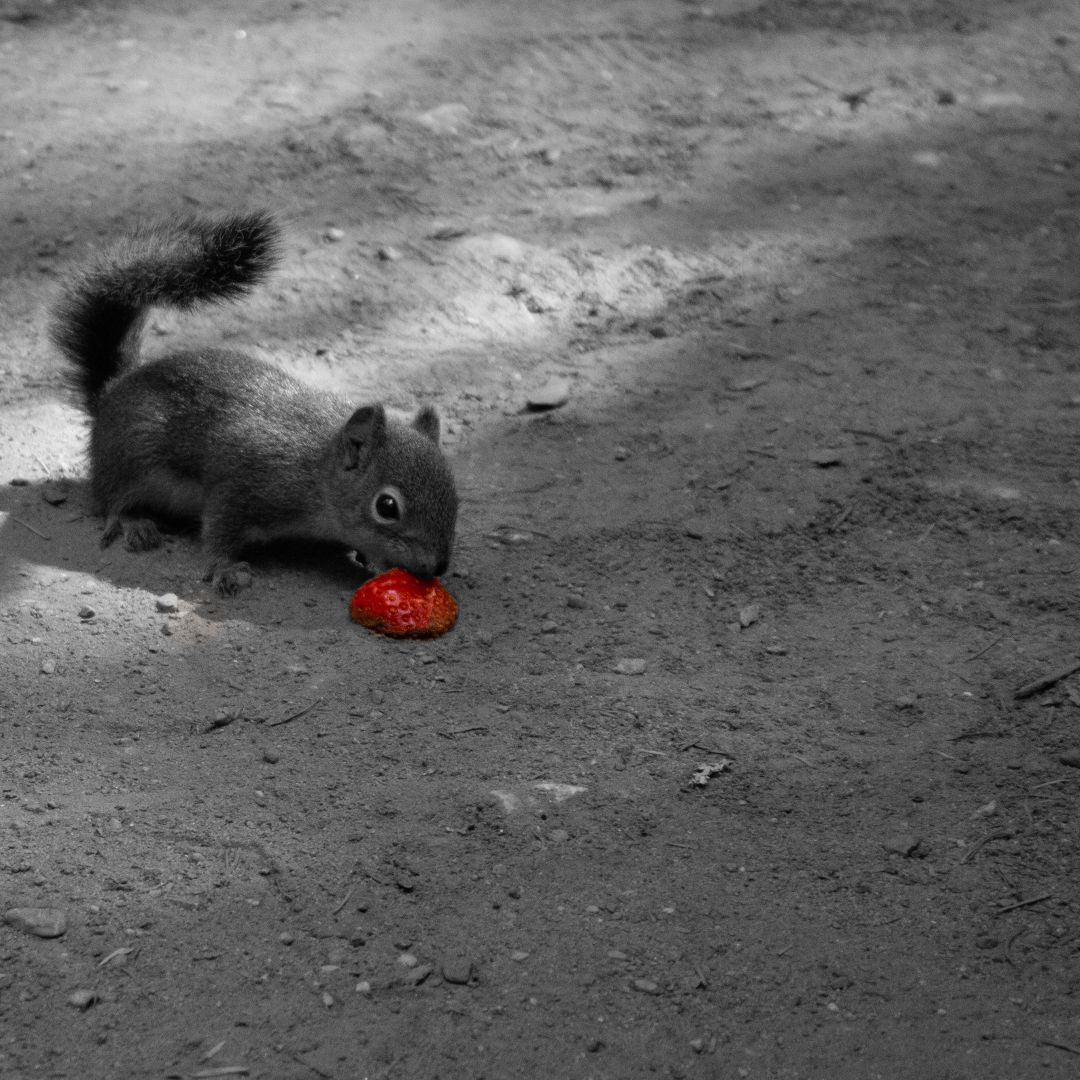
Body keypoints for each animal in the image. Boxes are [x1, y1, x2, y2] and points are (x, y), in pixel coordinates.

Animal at [50, 211, 458, 594]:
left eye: (454, 491)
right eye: (387, 506)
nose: (437, 567)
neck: (317, 472)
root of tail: (112, 390)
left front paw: (373, 562)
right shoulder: (245, 485)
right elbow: (219, 530)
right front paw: (226, 569)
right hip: (131, 458)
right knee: (110, 499)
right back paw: (132, 521)